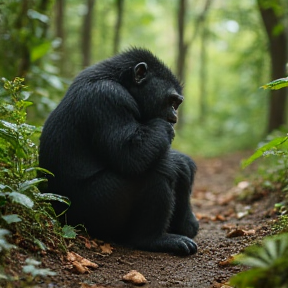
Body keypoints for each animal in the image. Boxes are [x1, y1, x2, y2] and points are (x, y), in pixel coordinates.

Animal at [39, 48, 199, 255]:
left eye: (177, 103)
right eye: (171, 101)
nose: (174, 117)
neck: (121, 81)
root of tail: (59, 214)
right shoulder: (109, 99)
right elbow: (130, 155)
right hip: (98, 209)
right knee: (158, 169)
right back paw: (153, 239)